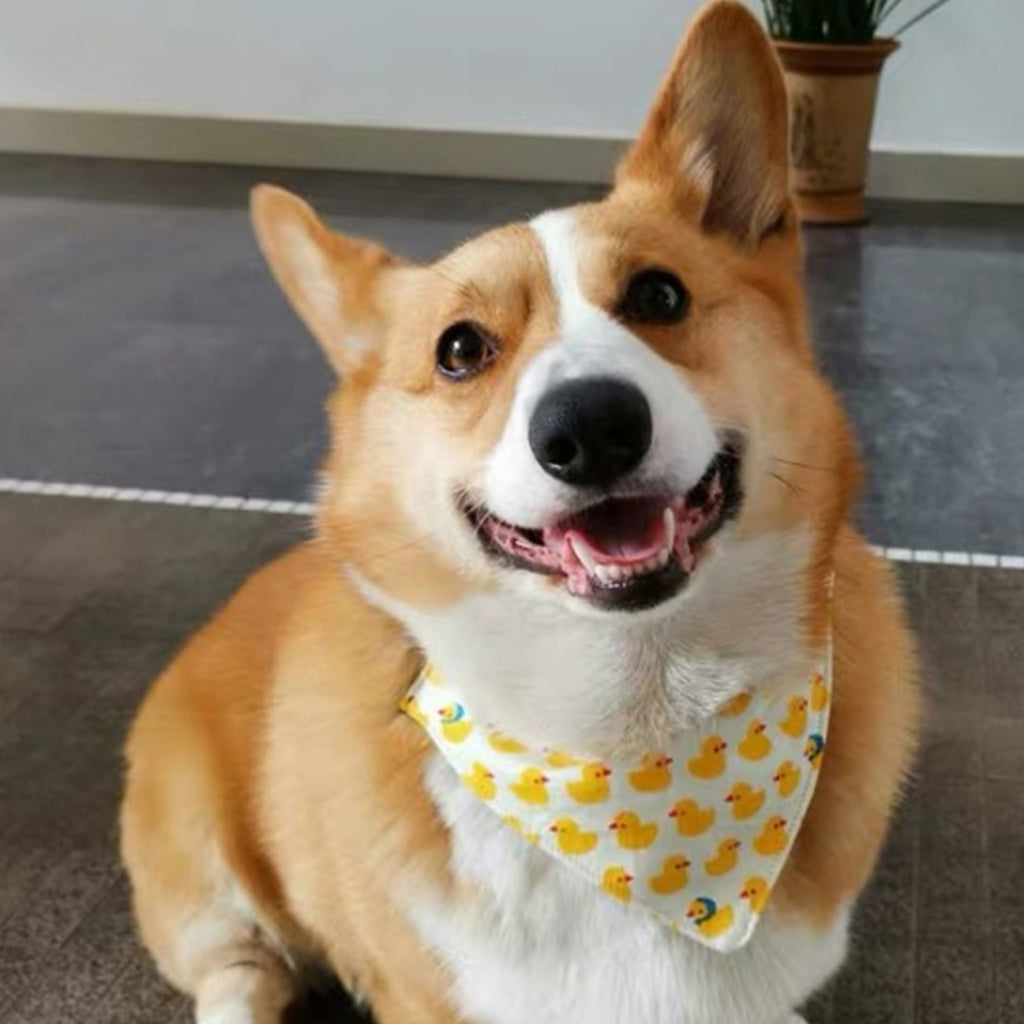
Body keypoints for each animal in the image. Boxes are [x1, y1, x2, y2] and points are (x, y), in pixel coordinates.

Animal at [120, 4, 919, 1022]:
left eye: (659, 294)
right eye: (461, 350)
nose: (592, 427)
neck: (629, 744)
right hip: (205, 867)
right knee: (237, 973)